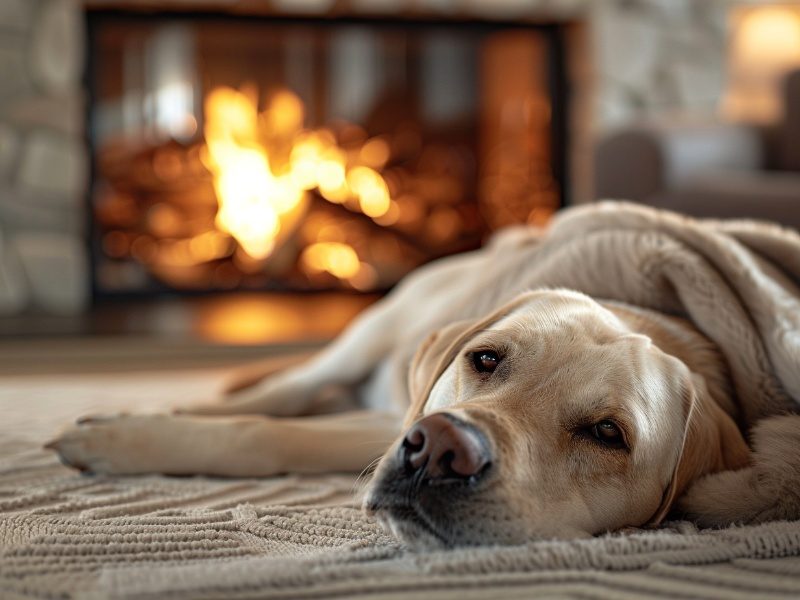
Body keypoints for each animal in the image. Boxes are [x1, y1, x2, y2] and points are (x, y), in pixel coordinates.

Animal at [48, 230, 752, 548]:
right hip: (369, 337)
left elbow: (276, 435)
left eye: (608, 433)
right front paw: (123, 438)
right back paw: (180, 405)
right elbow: (263, 428)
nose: (438, 447)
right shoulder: (392, 417)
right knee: (280, 392)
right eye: (485, 359)